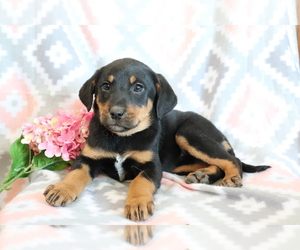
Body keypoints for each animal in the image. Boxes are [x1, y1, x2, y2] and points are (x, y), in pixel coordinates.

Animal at [43, 58, 270, 221]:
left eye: (138, 87)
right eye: (105, 86)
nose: (116, 113)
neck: (121, 138)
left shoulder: (152, 166)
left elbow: (140, 181)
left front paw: (137, 203)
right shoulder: (88, 158)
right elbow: (75, 173)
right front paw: (62, 189)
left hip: (189, 133)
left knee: (232, 159)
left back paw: (231, 178)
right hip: (181, 161)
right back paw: (202, 175)